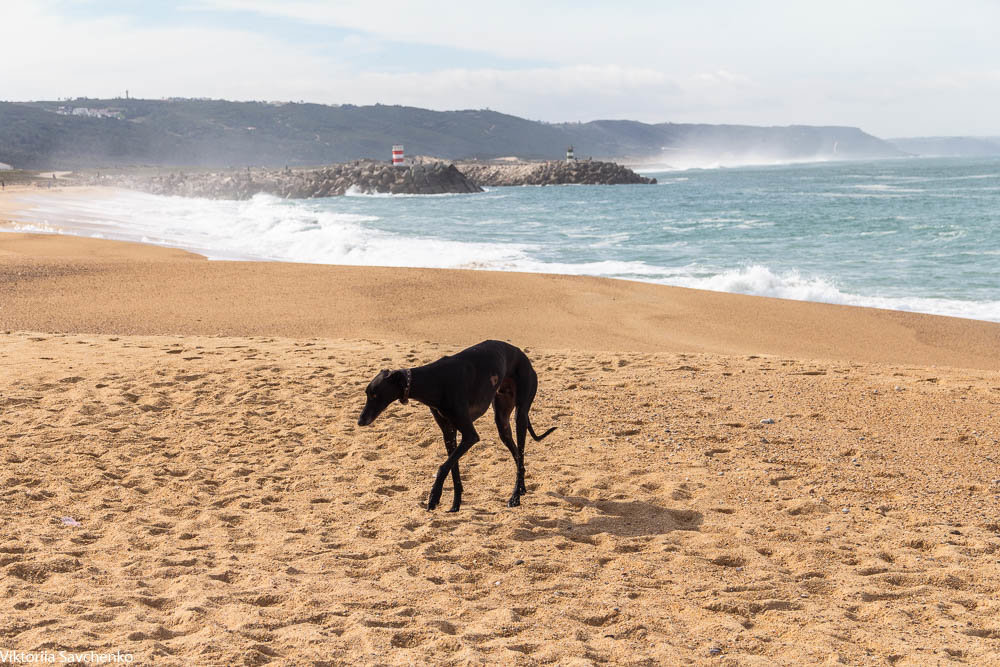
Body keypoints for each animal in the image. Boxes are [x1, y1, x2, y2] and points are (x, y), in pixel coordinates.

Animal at [356, 340, 556, 512]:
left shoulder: (470, 435)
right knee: (517, 456)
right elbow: (453, 468)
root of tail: (524, 357)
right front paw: (455, 504)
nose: (360, 421)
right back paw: (521, 488)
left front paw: (434, 498)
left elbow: (443, 467)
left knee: (520, 450)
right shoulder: (449, 432)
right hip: (502, 420)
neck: (434, 381)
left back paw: (515, 497)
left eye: (374, 395)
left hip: (520, 414)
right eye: (367, 393)